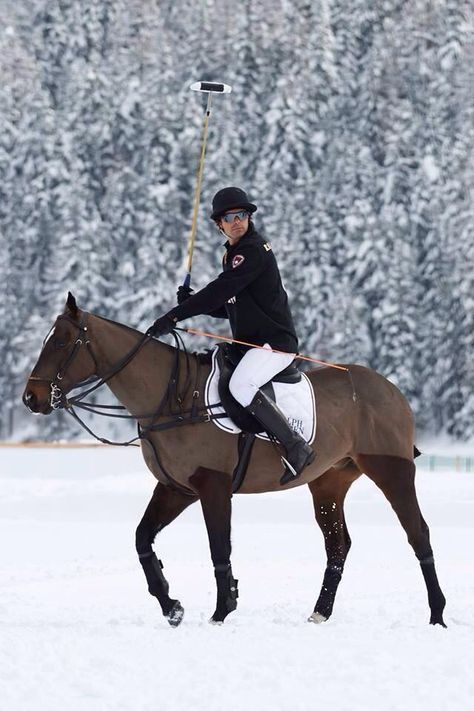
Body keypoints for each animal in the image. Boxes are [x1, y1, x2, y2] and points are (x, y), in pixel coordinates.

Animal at [21, 294, 444, 628]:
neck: (174, 397)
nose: (31, 398)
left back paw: (437, 613)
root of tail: (393, 390)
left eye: (61, 341)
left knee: (419, 533)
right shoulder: (176, 487)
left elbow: (218, 547)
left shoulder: (213, 485)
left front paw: (222, 609)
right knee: (337, 545)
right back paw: (320, 612)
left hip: (391, 470)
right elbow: (143, 538)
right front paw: (171, 605)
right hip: (328, 482)